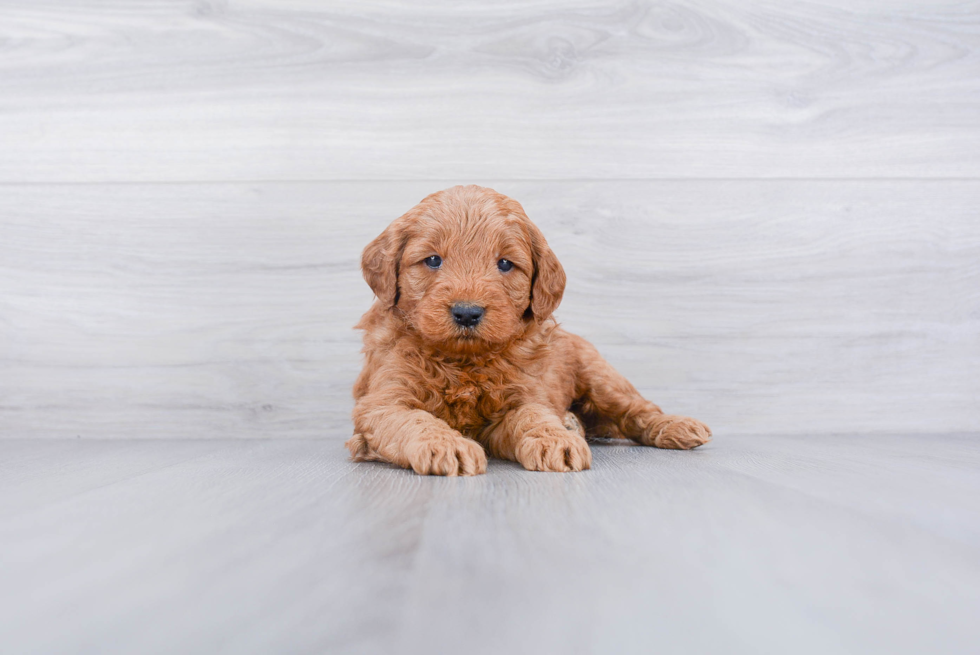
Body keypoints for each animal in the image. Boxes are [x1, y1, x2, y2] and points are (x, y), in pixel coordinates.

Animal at [346, 184, 712, 476]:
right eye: (433, 260)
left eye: (505, 264)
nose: (467, 313)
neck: (464, 362)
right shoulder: (382, 401)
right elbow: (413, 419)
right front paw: (447, 445)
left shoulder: (525, 396)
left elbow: (533, 415)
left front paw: (556, 438)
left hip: (601, 376)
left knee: (638, 410)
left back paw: (675, 425)